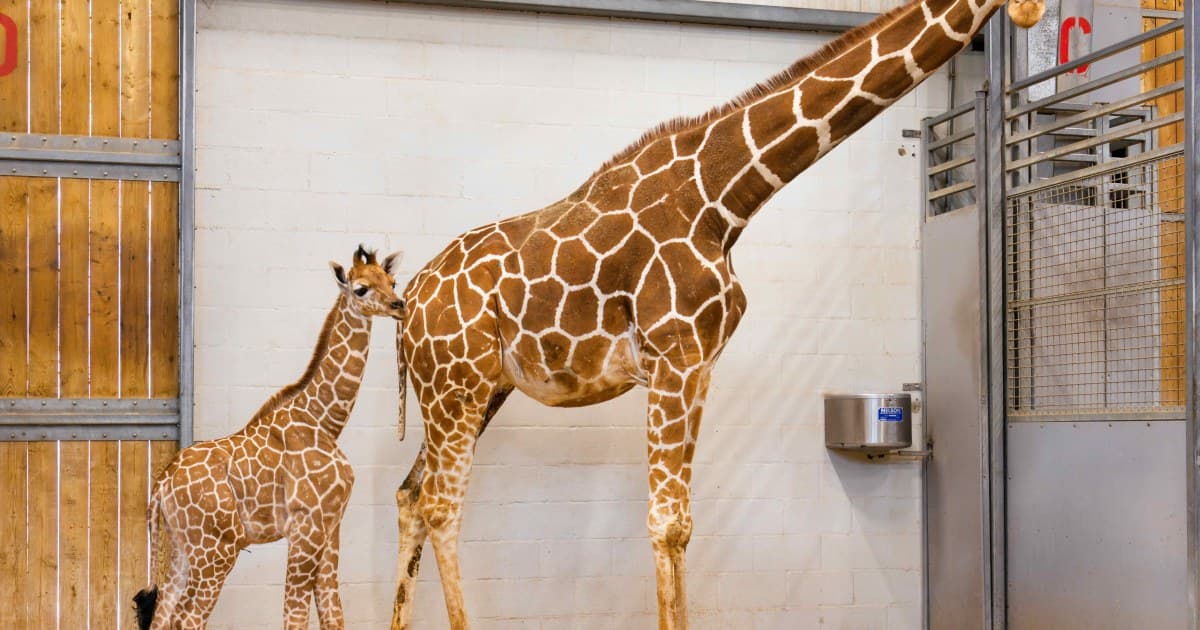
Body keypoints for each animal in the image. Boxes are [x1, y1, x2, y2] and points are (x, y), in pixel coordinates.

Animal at [132, 246, 405, 630]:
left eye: (392, 280)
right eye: (361, 288)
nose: (399, 305)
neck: (325, 420)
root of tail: (160, 486)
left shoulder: (331, 524)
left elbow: (333, 612)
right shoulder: (307, 527)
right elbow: (295, 614)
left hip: (182, 548)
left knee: (163, 612)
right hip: (216, 550)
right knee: (188, 617)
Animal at [389, 1, 1045, 628]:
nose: (1031, 15)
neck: (722, 197)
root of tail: (410, 300)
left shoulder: (699, 368)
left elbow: (683, 524)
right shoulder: (672, 358)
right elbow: (665, 522)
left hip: (473, 389)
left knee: (410, 496)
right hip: (457, 386)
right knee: (441, 506)